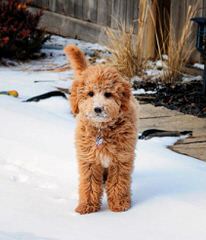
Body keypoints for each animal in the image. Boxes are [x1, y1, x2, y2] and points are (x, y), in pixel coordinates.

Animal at [64, 44, 138, 214]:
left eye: (108, 94)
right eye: (90, 93)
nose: (98, 109)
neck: (102, 131)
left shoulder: (121, 159)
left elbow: (118, 183)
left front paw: (119, 204)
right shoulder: (89, 159)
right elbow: (89, 184)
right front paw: (87, 206)